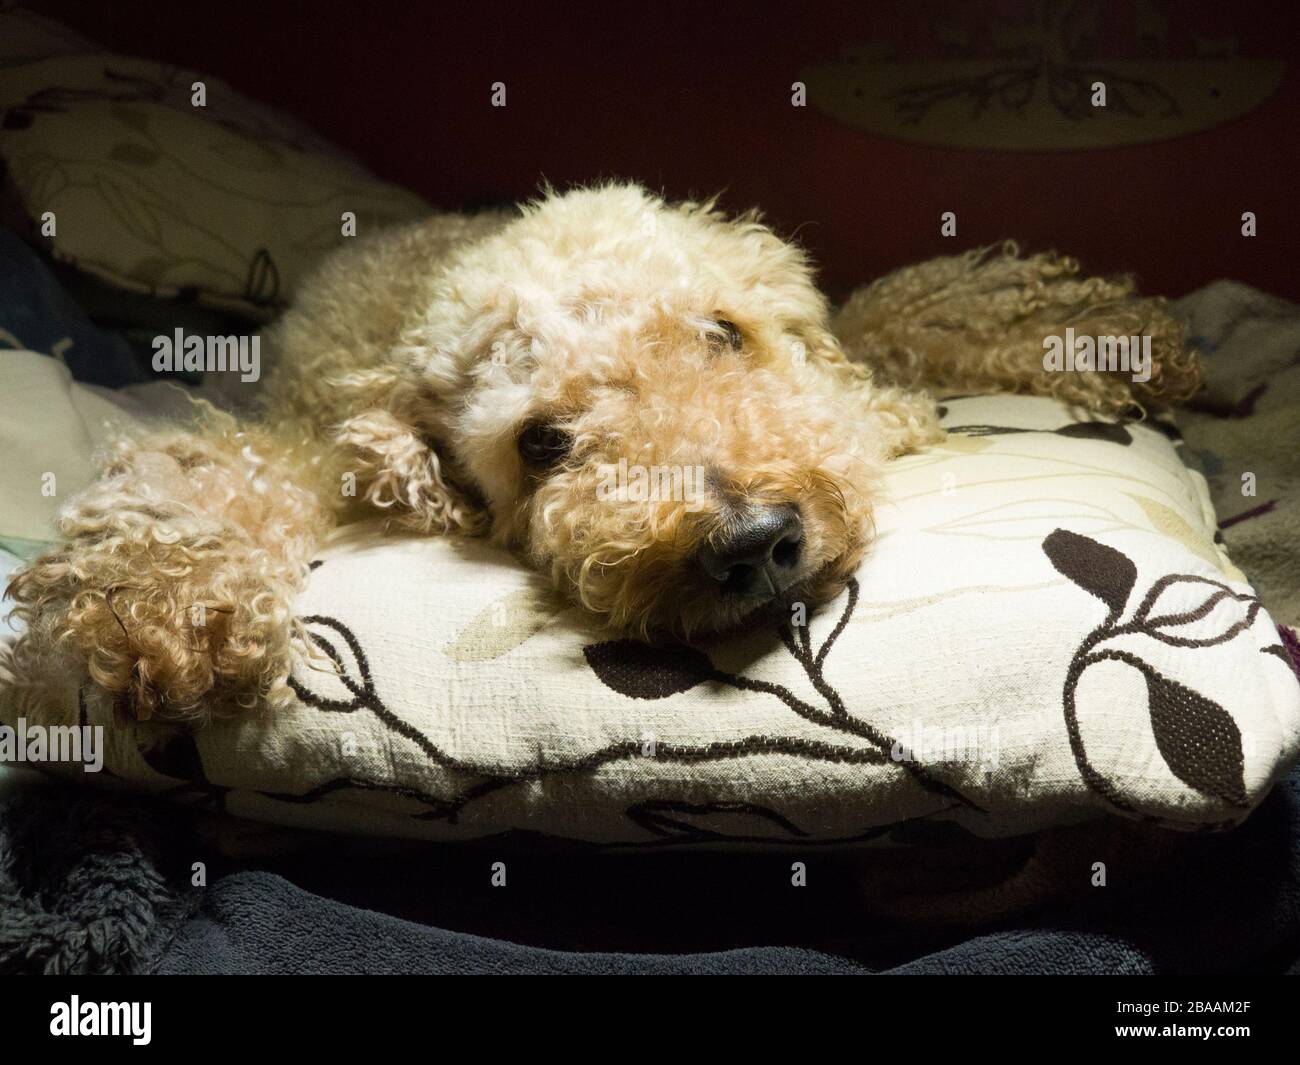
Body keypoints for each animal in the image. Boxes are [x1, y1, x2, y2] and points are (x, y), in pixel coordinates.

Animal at [5, 185, 1196, 723]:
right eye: (542, 443)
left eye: (723, 335)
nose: (753, 544)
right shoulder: (307, 446)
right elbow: (204, 484)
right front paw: (160, 604)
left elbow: (906, 321)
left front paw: (1094, 338)